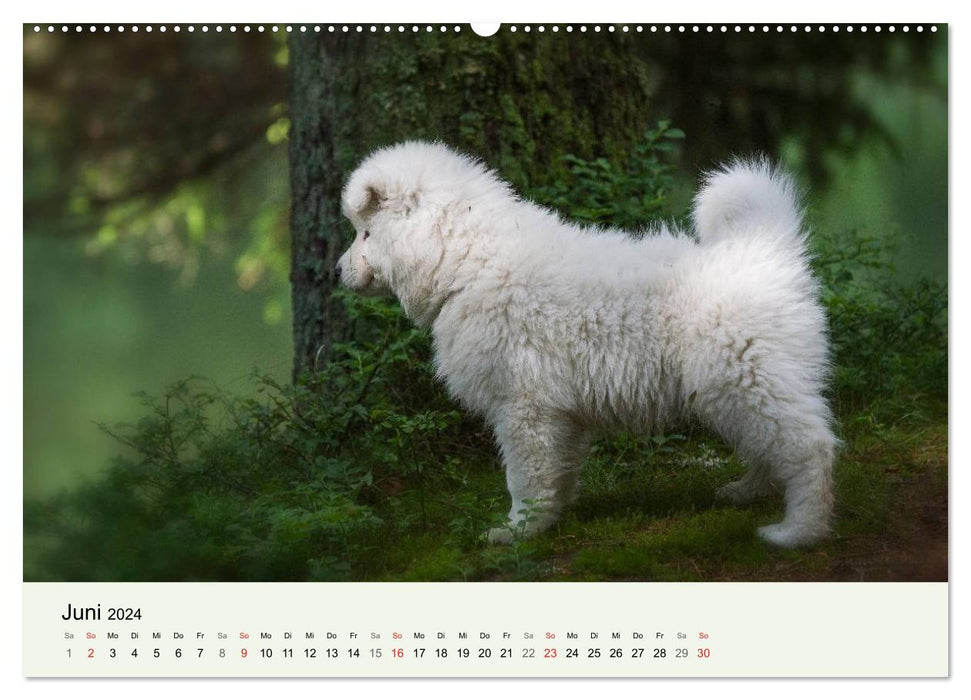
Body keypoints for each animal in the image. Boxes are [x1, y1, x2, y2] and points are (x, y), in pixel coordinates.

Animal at [334, 141, 836, 548]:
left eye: (365, 233)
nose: (336, 271)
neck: (469, 261)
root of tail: (766, 248)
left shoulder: (523, 404)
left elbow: (524, 474)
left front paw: (517, 530)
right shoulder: (560, 411)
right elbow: (559, 470)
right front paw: (550, 518)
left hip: (745, 378)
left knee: (809, 446)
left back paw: (799, 531)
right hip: (736, 387)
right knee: (769, 447)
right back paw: (746, 491)